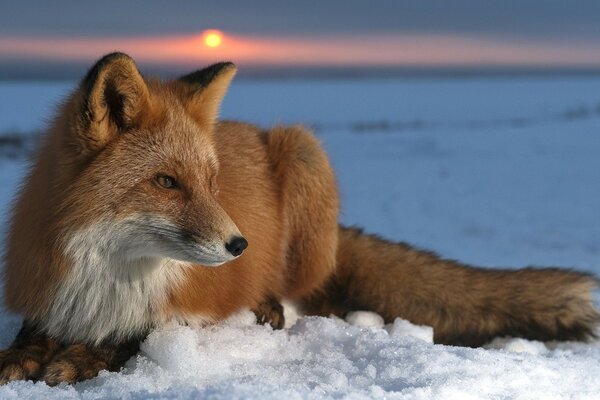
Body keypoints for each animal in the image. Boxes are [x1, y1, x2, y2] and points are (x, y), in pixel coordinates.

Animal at [0, 51, 596, 386]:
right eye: (166, 182)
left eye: (212, 183)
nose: (239, 245)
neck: (106, 276)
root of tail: (251, 127)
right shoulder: (48, 292)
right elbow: (30, 336)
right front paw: (23, 357)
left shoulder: (181, 311)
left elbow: (129, 338)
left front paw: (79, 359)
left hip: (305, 153)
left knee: (305, 294)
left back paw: (269, 305)